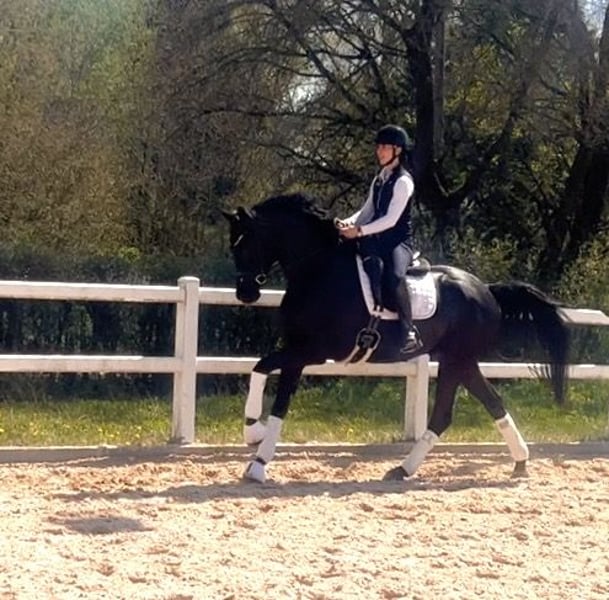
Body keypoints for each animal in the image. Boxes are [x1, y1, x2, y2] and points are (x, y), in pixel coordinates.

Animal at [222, 193, 570, 483]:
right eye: (233, 246)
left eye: (246, 244)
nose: (245, 293)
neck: (319, 271)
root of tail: (486, 290)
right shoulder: (296, 350)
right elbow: (260, 369)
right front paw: (253, 433)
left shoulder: (310, 352)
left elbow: (276, 397)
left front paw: (257, 460)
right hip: (461, 361)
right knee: (489, 404)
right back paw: (516, 463)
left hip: (456, 360)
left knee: (446, 413)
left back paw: (406, 468)